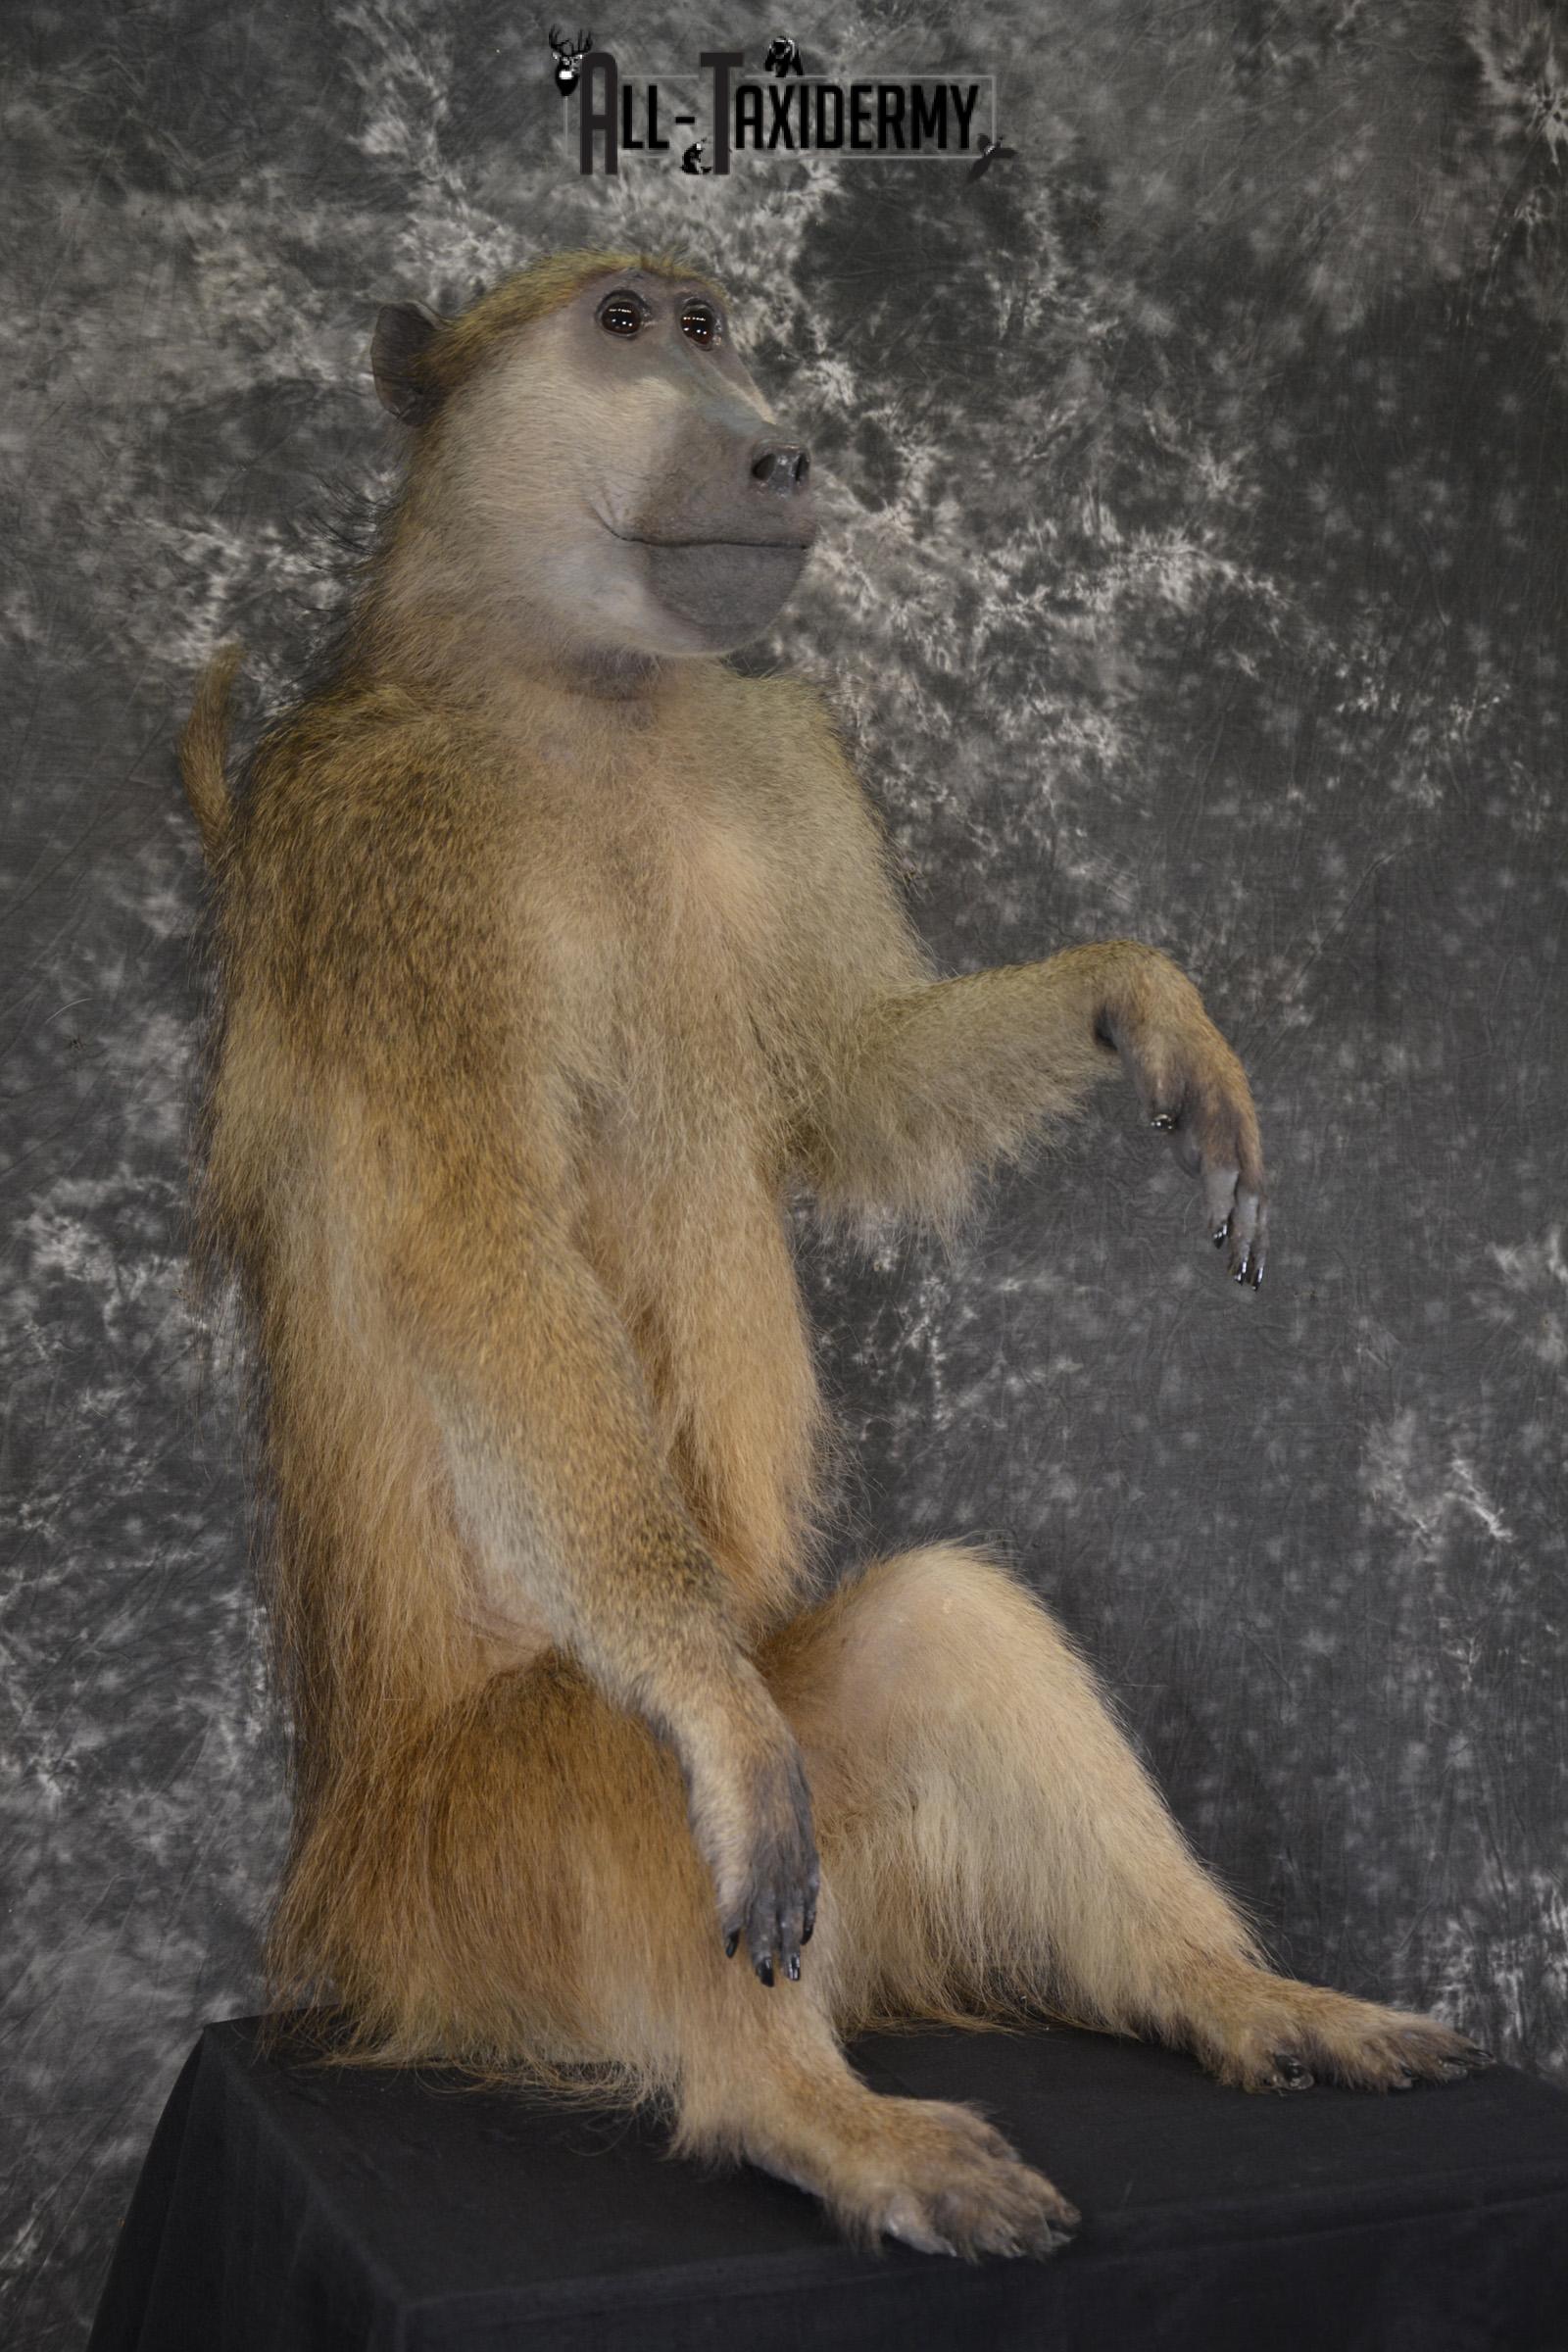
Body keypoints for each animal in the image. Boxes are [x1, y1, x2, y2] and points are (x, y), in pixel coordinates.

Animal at [180, 245, 1489, 2261]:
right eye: (624, 328)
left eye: (715, 324)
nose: (779, 448)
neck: (581, 693)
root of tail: (325, 1941)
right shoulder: (388, 857)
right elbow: (471, 1247)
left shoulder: (771, 743)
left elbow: (844, 1091)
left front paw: (1138, 1002)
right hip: (446, 1903)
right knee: (643, 1764)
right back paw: (815, 2113)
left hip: (854, 1870)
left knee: (946, 1626)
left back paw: (1245, 2000)